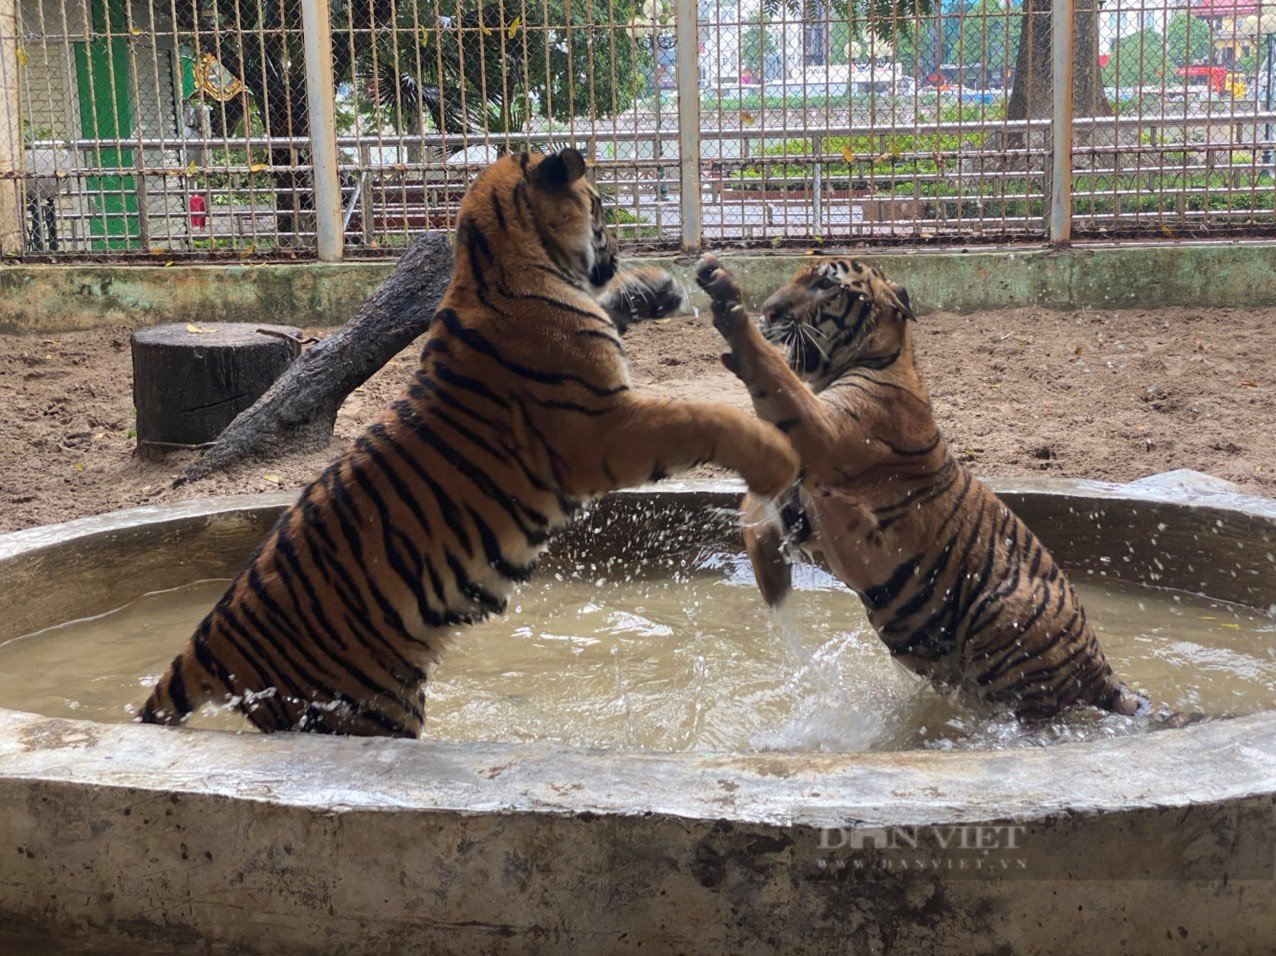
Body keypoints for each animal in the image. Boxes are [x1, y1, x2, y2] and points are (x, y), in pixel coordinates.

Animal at [139, 147, 796, 740]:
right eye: (601, 207)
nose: (614, 255)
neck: (492, 262)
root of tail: (208, 641)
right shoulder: (602, 426)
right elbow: (703, 416)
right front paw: (777, 460)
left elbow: (618, 314)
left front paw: (655, 289)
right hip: (360, 705)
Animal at [694, 257, 1163, 719]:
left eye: (825, 284)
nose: (769, 311)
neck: (880, 357)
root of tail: (1104, 675)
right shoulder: (806, 514)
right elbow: (759, 502)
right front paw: (769, 576)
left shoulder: (824, 435)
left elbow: (772, 376)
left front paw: (726, 299)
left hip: (1000, 616)